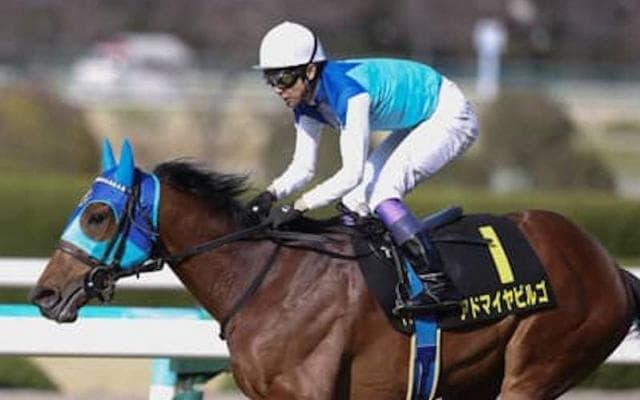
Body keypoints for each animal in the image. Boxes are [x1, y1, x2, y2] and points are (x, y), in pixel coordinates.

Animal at [30, 139, 640, 400]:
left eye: (98, 214)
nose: (45, 293)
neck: (266, 280)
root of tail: (611, 268)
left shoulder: (307, 392)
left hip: (538, 366)